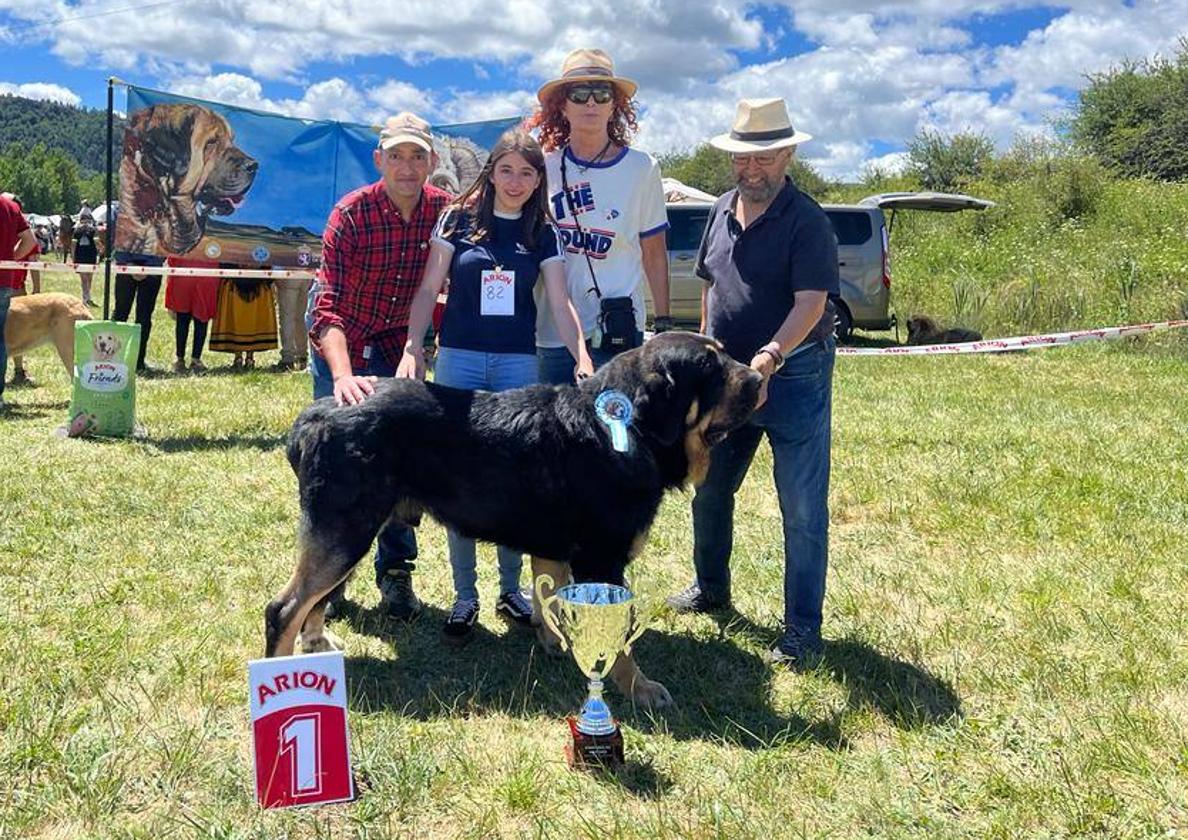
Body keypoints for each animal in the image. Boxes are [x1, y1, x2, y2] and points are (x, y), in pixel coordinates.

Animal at [266, 332, 765, 708]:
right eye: (710, 366)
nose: (761, 377)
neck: (624, 428)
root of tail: (317, 413)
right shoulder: (603, 559)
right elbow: (619, 642)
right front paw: (638, 687)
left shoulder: (555, 552)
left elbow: (553, 605)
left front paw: (557, 644)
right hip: (346, 530)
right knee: (284, 609)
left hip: (346, 533)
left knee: (313, 602)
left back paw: (316, 648)